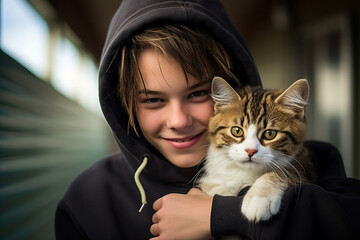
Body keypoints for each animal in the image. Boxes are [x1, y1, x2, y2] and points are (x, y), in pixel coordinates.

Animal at [198, 76, 316, 223]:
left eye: (270, 134)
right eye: (237, 131)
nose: (250, 151)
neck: (245, 172)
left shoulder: (305, 170)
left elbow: (282, 172)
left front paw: (259, 198)